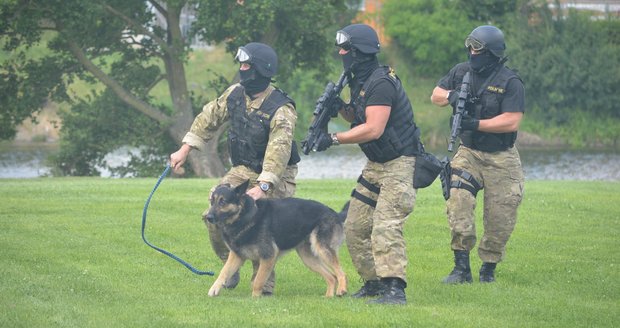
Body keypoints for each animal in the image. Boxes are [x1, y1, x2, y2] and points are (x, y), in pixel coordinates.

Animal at [205, 181, 346, 298]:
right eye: (212, 201)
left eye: (223, 202)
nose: (208, 217)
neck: (246, 215)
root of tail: (335, 213)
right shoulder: (236, 256)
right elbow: (224, 272)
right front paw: (214, 289)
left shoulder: (268, 257)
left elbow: (258, 281)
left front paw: (255, 299)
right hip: (308, 258)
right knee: (331, 277)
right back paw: (328, 297)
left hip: (322, 249)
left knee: (341, 273)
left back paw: (341, 290)